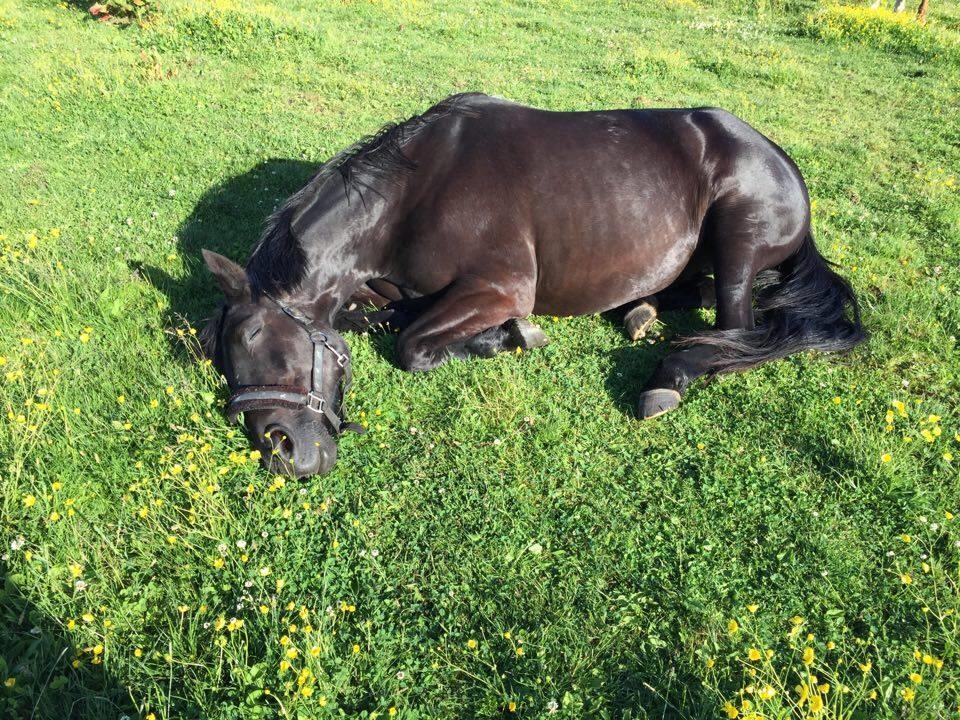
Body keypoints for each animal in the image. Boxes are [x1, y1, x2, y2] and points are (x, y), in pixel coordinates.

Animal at [199, 94, 868, 478]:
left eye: (260, 339)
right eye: (222, 359)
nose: (282, 454)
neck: (411, 195)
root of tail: (779, 157)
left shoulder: (500, 287)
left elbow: (411, 346)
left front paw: (506, 336)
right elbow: (381, 319)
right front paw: (494, 338)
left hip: (738, 242)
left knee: (739, 332)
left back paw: (667, 376)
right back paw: (640, 310)